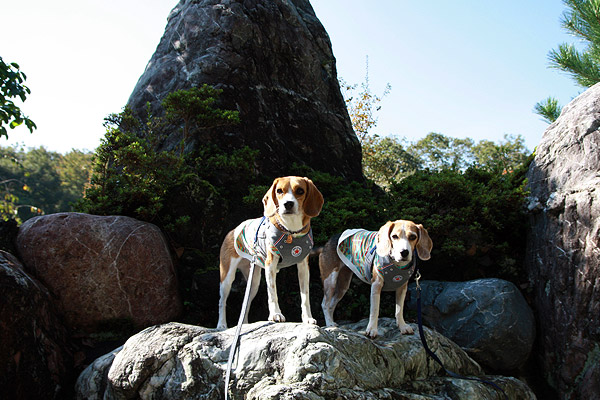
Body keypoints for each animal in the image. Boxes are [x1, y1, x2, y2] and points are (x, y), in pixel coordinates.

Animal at [216, 177, 324, 330]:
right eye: (279, 191)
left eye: (300, 191)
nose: (288, 204)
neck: (291, 231)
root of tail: (233, 230)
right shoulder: (270, 265)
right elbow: (273, 293)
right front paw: (276, 314)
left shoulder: (303, 267)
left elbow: (305, 296)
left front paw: (307, 318)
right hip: (227, 277)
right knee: (222, 301)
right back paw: (221, 324)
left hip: (254, 282)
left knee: (246, 304)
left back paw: (245, 324)